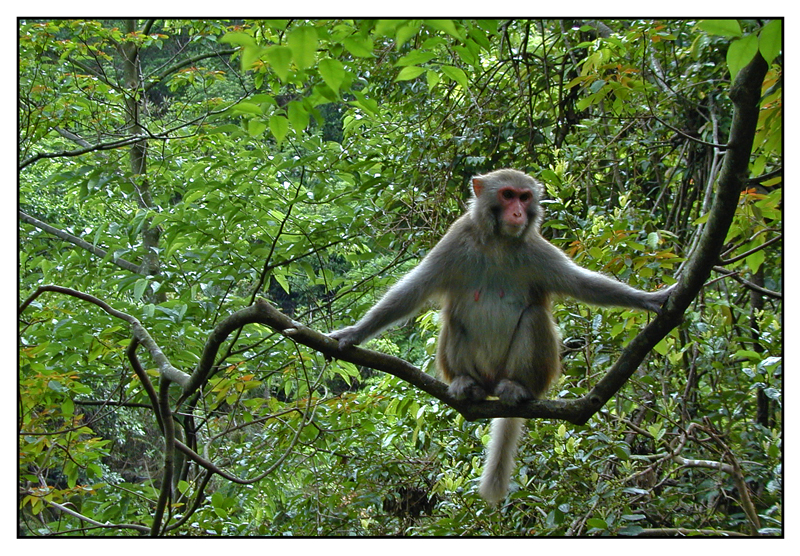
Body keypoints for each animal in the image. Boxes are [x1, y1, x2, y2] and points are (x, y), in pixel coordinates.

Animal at [328, 168, 672, 504]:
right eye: (507, 195)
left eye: (524, 197)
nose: (518, 212)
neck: (498, 241)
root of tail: (494, 382)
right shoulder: (455, 238)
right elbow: (412, 290)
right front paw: (354, 334)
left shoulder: (537, 249)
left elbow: (584, 285)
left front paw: (648, 299)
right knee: (454, 320)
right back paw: (468, 384)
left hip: (537, 371)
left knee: (533, 318)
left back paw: (517, 388)